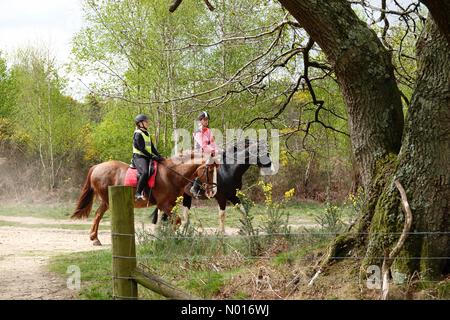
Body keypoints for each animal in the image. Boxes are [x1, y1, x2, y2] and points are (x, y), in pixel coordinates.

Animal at [71, 151, 218, 246]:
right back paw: (96, 238)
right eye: (210, 170)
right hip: (107, 200)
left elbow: (165, 222)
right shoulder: (165, 204)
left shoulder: (167, 205)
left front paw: (162, 237)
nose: (213, 191)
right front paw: (170, 238)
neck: (171, 175)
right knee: (98, 215)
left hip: (106, 202)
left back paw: (94, 238)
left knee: (97, 214)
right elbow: (176, 221)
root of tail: (97, 167)